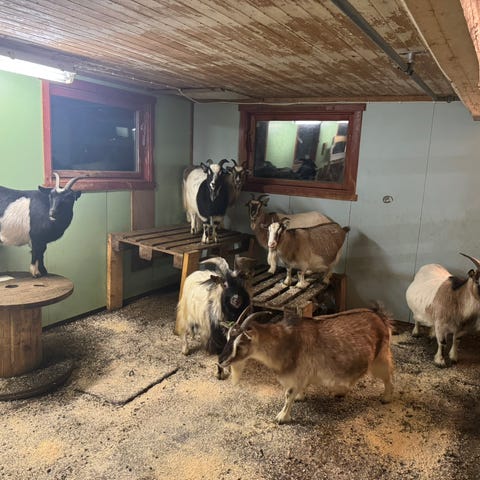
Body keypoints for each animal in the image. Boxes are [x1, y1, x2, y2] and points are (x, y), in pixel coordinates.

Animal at [219, 306, 394, 424]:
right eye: (227, 337)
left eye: (241, 343)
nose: (220, 361)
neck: (286, 341)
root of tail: (380, 318)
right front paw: (300, 397)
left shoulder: (297, 374)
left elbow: (288, 394)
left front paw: (282, 417)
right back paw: (341, 392)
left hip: (380, 359)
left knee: (388, 377)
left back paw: (386, 398)